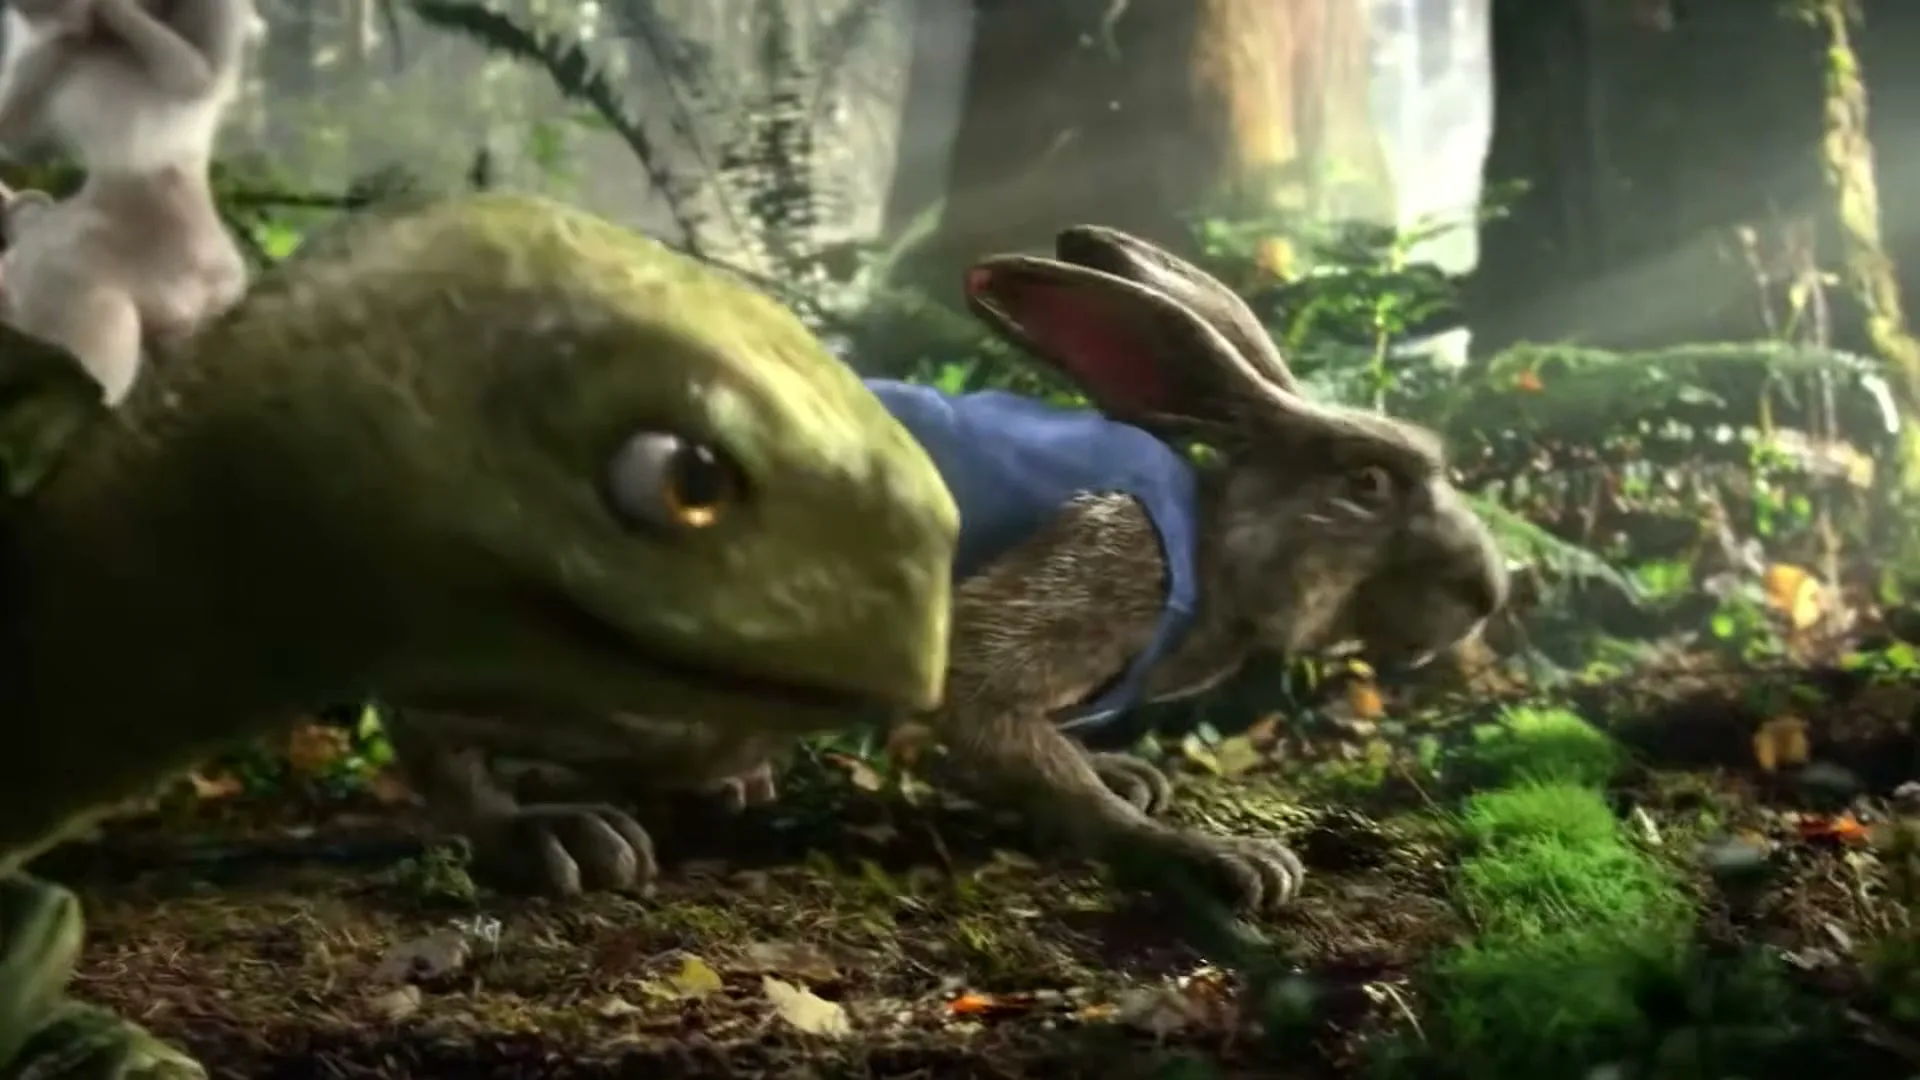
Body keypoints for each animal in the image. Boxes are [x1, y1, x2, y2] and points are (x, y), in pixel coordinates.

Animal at [388, 225, 1509, 913]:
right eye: (1369, 483)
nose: (1488, 594)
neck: (1211, 540)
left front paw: (1132, 777)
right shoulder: (1082, 583)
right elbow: (1012, 737)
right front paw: (1215, 858)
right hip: (661, 698)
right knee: (433, 722)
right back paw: (551, 837)